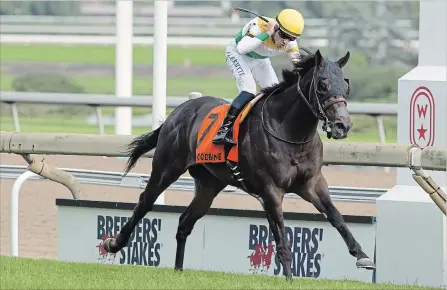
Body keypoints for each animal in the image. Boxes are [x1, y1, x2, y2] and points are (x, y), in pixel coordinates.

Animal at [104, 49, 378, 278]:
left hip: (209, 185)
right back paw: (115, 243)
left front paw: (363, 256)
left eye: (346, 84)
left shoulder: (311, 183)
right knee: (144, 203)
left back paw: (179, 270)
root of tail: (179, 111)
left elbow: (336, 217)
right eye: (323, 85)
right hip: (166, 168)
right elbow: (281, 236)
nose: (343, 125)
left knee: (184, 222)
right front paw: (289, 278)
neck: (291, 133)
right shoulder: (271, 190)